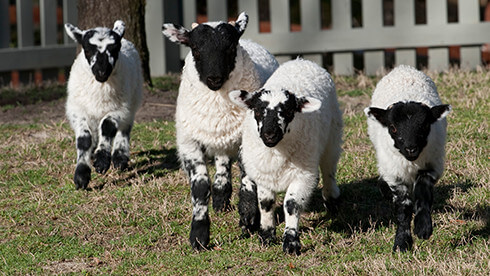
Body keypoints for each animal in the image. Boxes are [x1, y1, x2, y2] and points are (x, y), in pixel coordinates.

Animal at [64, 20, 142, 190]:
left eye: (115, 48)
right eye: (87, 49)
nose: (101, 72)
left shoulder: (119, 109)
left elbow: (107, 126)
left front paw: (102, 161)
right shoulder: (77, 110)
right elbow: (84, 139)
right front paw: (81, 175)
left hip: (132, 100)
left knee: (124, 128)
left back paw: (119, 157)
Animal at [162, 11, 280, 250]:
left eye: (231, 47)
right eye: (195, 49)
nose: (214, 78)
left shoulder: (249, 138)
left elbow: (248, 180)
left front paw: (248, 218)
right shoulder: (189, 143)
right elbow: (199, 187)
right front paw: (199, 236)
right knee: (223, 162)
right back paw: (220, 197)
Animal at [229, 59, 340, 256]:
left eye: (288, 111)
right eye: (258, 110)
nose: (269, 134)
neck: (276, 152)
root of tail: (301, 60)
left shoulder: (302, 176)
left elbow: (291, 204)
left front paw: (291, 242)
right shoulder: (263, 175)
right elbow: (266, 203)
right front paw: (266, 236)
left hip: (332, 137)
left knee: (329, 169)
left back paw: (332, 199)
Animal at [364, 64, 452, 252]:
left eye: (425, 126)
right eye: (393, 128)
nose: (411, 148)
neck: (412, 161)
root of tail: (403, 67)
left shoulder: (432, 166)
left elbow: (422, 194)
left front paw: (423, 227)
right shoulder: (395, 174)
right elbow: (403, 207)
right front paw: (402, 243)